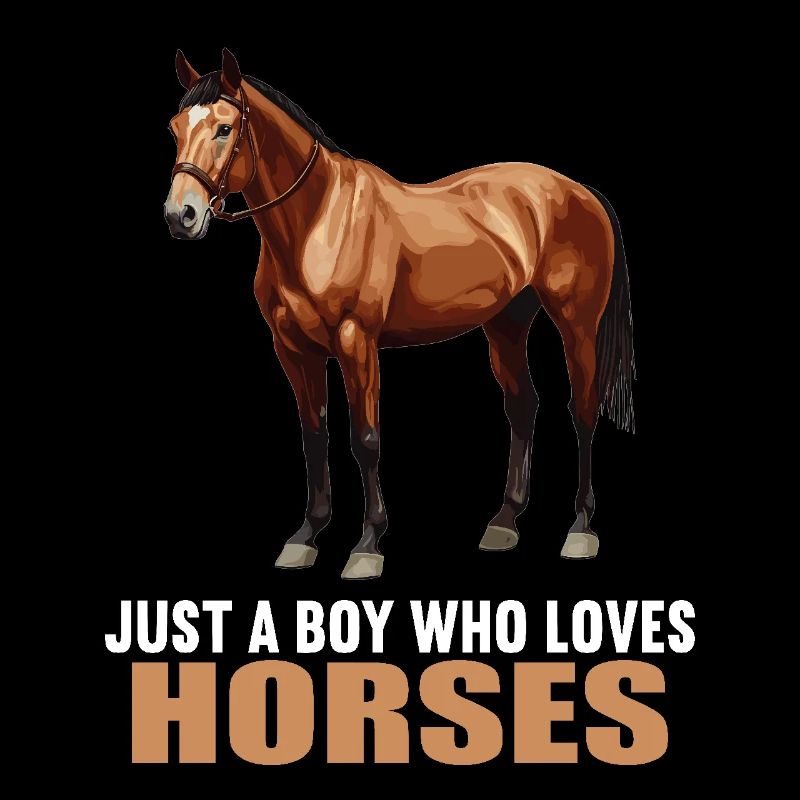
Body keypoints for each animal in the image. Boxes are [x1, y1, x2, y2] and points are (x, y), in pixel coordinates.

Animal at [164, 48, 635, 580]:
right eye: (175, 128)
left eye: (225, 128)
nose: (180, 216)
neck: (319, 221)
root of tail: (580, 191)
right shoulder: (294, 350)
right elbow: (314, 435)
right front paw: (306, 537)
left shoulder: (357, 342)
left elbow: (365, 438)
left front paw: (367, 545)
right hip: (506, 325)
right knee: (523, 406)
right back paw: (504, 523)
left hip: (578, 325)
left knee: (583, 410)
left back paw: (580, 529)